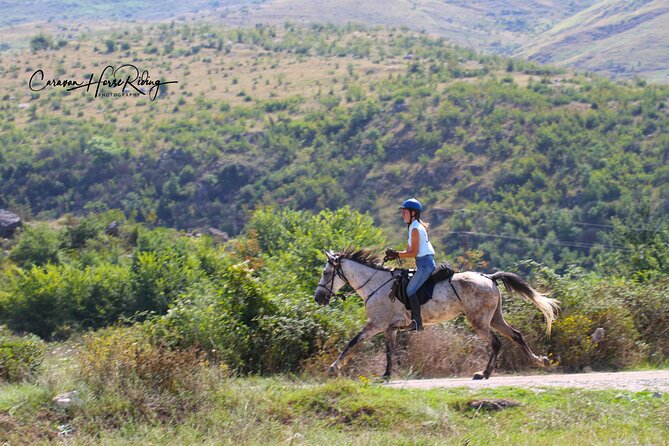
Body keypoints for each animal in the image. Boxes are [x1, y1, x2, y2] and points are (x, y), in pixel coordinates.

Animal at [314, 248, 559, 380]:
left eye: (326, 273)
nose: (319, 298)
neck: (375, 284)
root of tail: (489, 277)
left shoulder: (376, 324)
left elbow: (353, 342)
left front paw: (334, 367)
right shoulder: (389, 327)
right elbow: (389, 350)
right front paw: (386, 374)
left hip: (479, 321)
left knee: (497, 342)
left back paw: (484, 373)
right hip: (495, 317)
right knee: (516, 335)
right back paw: (539, 360)